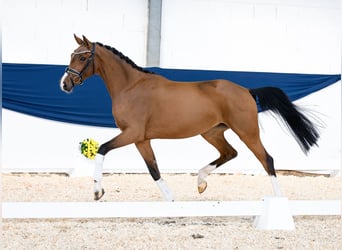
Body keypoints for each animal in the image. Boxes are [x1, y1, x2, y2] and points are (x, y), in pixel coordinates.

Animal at [60, 34, 320, 201]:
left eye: (82, 58)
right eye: (72, 55)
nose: (64, 84)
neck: (131, 87)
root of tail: (246, 90)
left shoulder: (132, 133)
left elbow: (103, 149)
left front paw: (97, 192)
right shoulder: (141, 139)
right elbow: (153, 169)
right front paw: (170, 199)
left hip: (247, 132)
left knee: (267, 160)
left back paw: (278, 200)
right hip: (212, 132)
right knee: (230, 153)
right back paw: (200, 182)